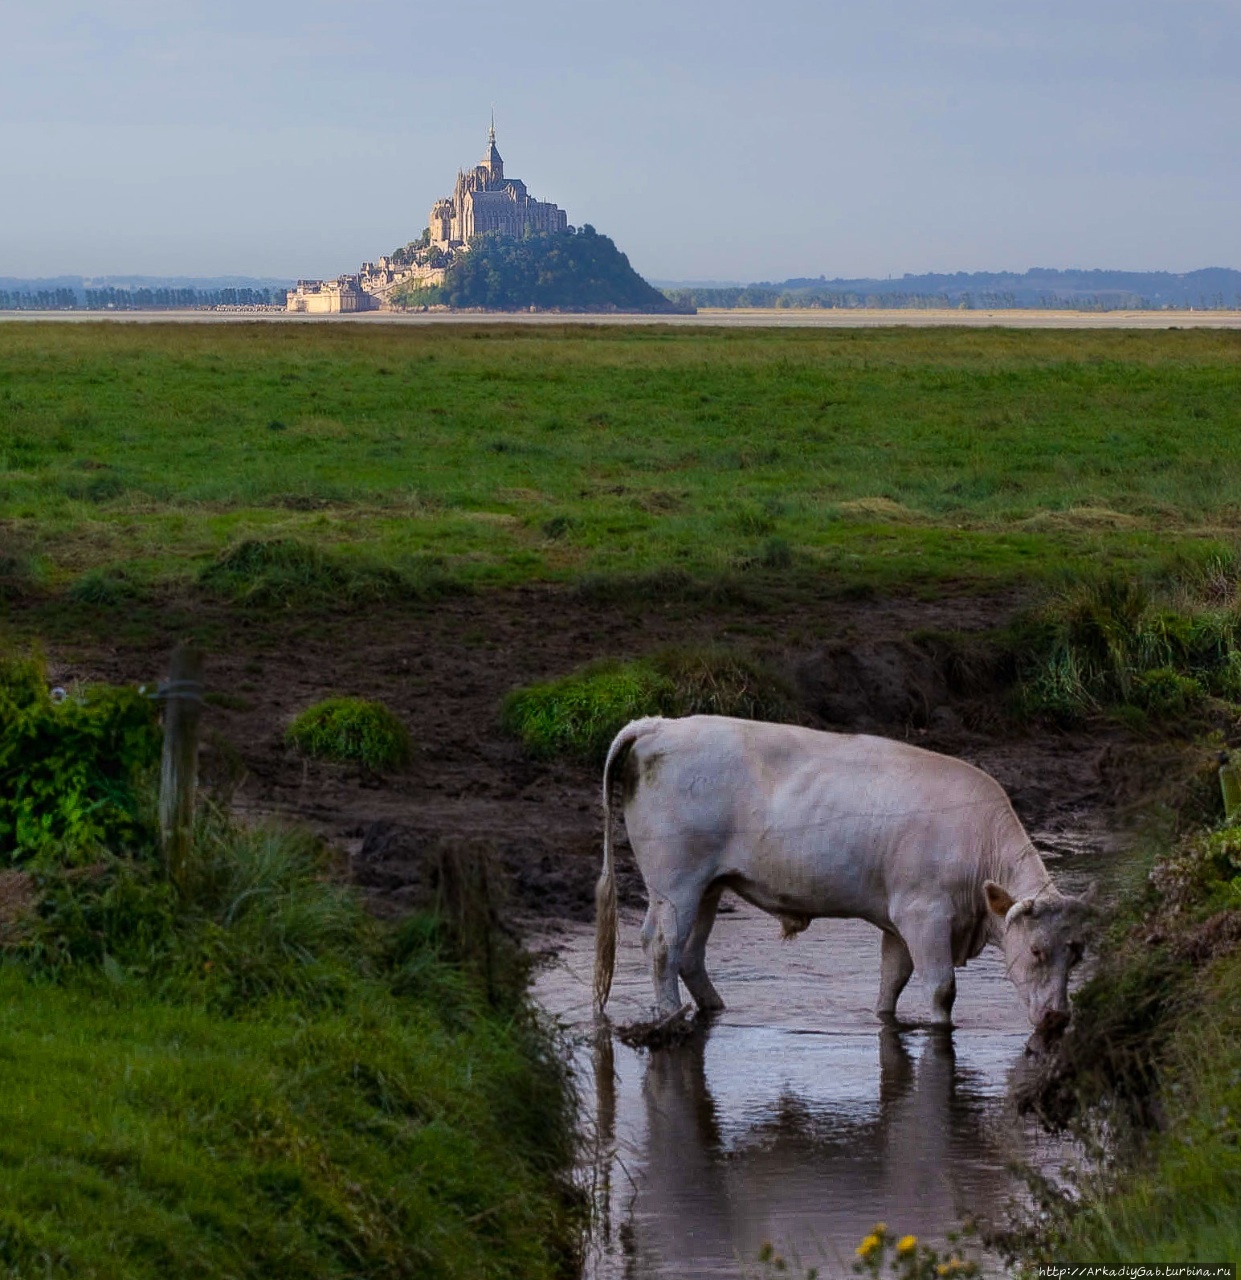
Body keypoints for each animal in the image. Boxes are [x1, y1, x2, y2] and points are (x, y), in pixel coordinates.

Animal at [596, 716, 1090, 1044]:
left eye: (1076, 954)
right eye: (1036, 950)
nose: (1058, 1019)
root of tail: (659, 725)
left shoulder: (898, 922)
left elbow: (892, 982)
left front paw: (885, 1018)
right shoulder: (923, 915)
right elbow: (941, 989)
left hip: (708, 887)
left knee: (690, 953)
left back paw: (715, 1009)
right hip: (674, 884)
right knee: (663, 945)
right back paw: (668, 1019)